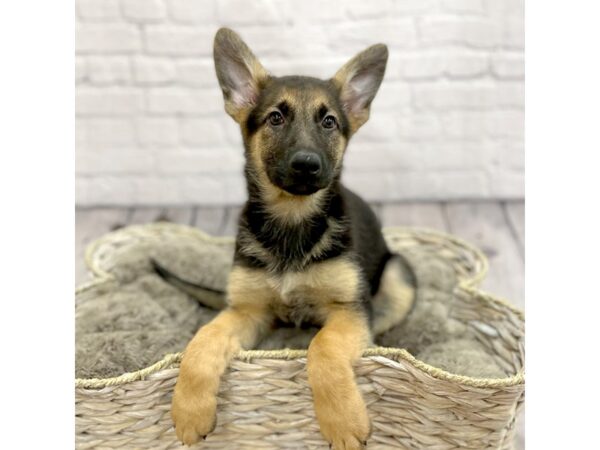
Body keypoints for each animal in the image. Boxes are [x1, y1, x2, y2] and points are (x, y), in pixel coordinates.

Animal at [166, 29, 414, 450]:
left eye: (329, 122)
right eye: (276, 118)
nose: (306, 164)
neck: (291, 222)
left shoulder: (349, 310)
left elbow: (324, 348)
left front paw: (343, 421)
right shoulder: (246, 311)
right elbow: (202, 340)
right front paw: (189, 410)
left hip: (398, 273)